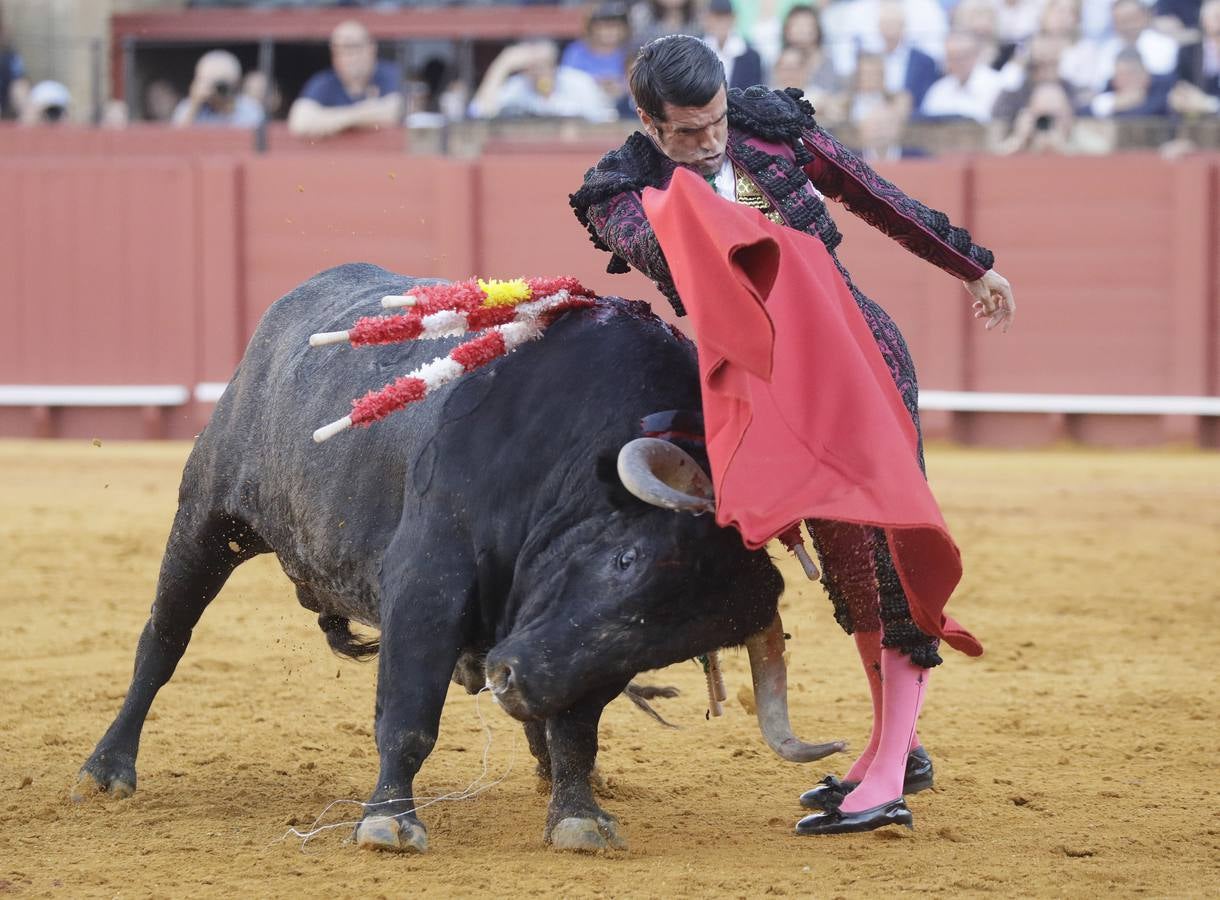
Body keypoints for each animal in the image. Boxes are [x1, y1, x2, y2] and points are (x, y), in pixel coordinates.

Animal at [71, 264, 844, 848]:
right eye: (625, 561)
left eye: (672, 646)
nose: (512, 679)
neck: (564, 449)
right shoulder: (427, 584)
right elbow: (411, 712)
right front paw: (389, 822)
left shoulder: (574, 653)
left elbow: (578, 726)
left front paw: (578, 817)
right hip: (208, 520)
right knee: (163, 639)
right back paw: (106, 770)